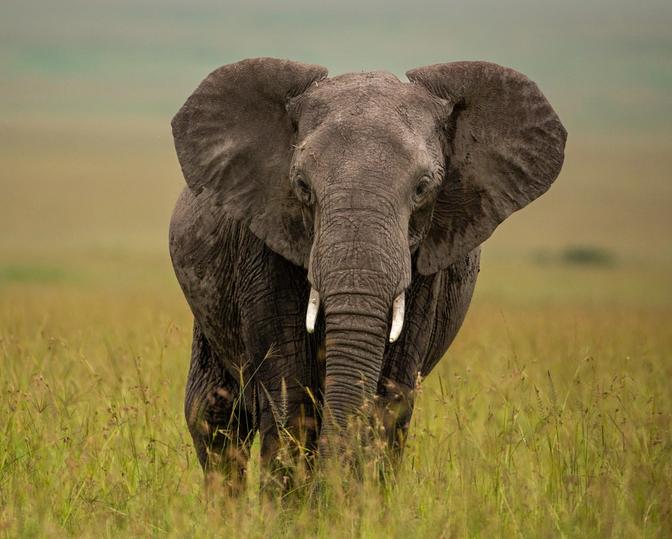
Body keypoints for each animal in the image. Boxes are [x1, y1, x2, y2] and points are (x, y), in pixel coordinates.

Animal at [169, 57, 566, 490]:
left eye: (423, 188)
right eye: (302, 185)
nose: (327, 489)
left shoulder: (425, 266)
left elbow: (390, 397)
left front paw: (361, 500)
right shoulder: (261, 250)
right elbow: (290, 394)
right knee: (215, 416)